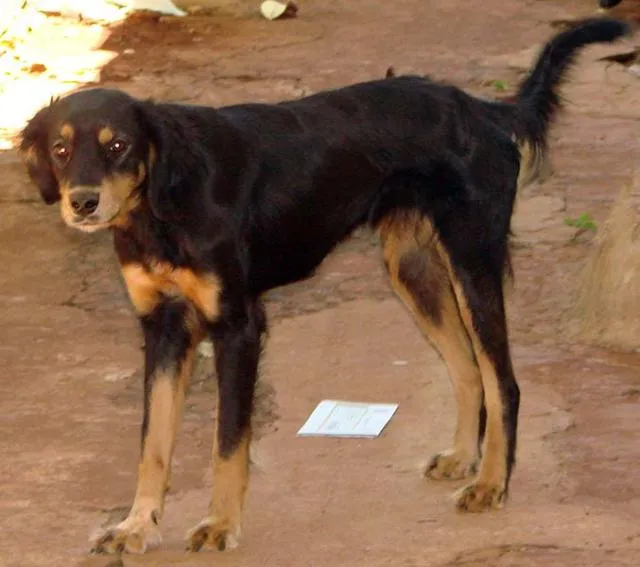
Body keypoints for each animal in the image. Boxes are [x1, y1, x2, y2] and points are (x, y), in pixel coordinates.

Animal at [21, 16, 632, 556]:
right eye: (60, 149)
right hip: (413, 270)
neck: (163, 205)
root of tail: (480, 111)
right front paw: (137, 525)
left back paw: (491, 483)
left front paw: (220, 523)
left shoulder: (239, 325)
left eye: (119, 145)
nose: (82, 202)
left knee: (502, 379)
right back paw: (465, 458)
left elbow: (227, 441)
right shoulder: (163, 327)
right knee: (465, 370)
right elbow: (153, 442)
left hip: (471, 261)